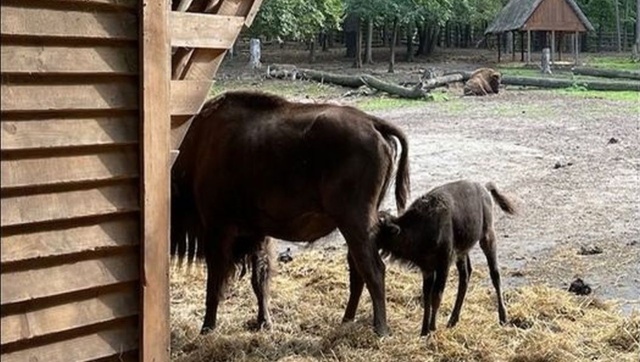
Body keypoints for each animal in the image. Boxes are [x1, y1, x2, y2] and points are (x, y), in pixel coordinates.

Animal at [170, 91, 410, 336]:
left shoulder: (217, 229)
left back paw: (380, 330)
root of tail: (373, 123)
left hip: (355, 223)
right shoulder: (257, 234)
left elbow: (215, 283)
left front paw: (207, 328)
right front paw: (264, 322)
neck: (198, 149)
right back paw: (346, 321)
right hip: (354, 226)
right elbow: (259, 280)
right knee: (357, 270)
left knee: (374, 271)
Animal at [372, 181, 516, 336]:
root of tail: (483, 188)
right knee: (465, 276)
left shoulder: (443, 265)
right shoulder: (427, 269)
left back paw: (503, 317)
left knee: (495, 274)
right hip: (462, 252)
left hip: (487, 237)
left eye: (382, 231)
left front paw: (432, 328)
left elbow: (437, 296)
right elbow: (427, 297)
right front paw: (424, 331)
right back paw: (452, 320)